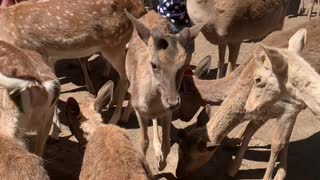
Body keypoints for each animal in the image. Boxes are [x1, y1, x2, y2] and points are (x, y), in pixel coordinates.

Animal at [0, 0, 146, 131]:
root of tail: (142, 9)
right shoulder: (49, 56)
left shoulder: (35, 54)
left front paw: (54, 131)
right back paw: (115, 106)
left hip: (114, 45)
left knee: (126, 78)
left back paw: (116, 119)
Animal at [122, 9, 205, 170]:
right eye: (154, 65)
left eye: (184, 64)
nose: (173, 102)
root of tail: (151, 11)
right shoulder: (139, 111)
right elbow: (143, 142)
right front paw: (148, 166)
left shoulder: (167, 112)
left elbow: (167, 145)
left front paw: (161, 163)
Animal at [175, 27, 308, 179]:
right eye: (179, 149)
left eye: (188, 156)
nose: (178, 174)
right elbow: (252, 129)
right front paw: (233, 163)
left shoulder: (289, 108)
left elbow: (277, 142)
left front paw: (274, 175)